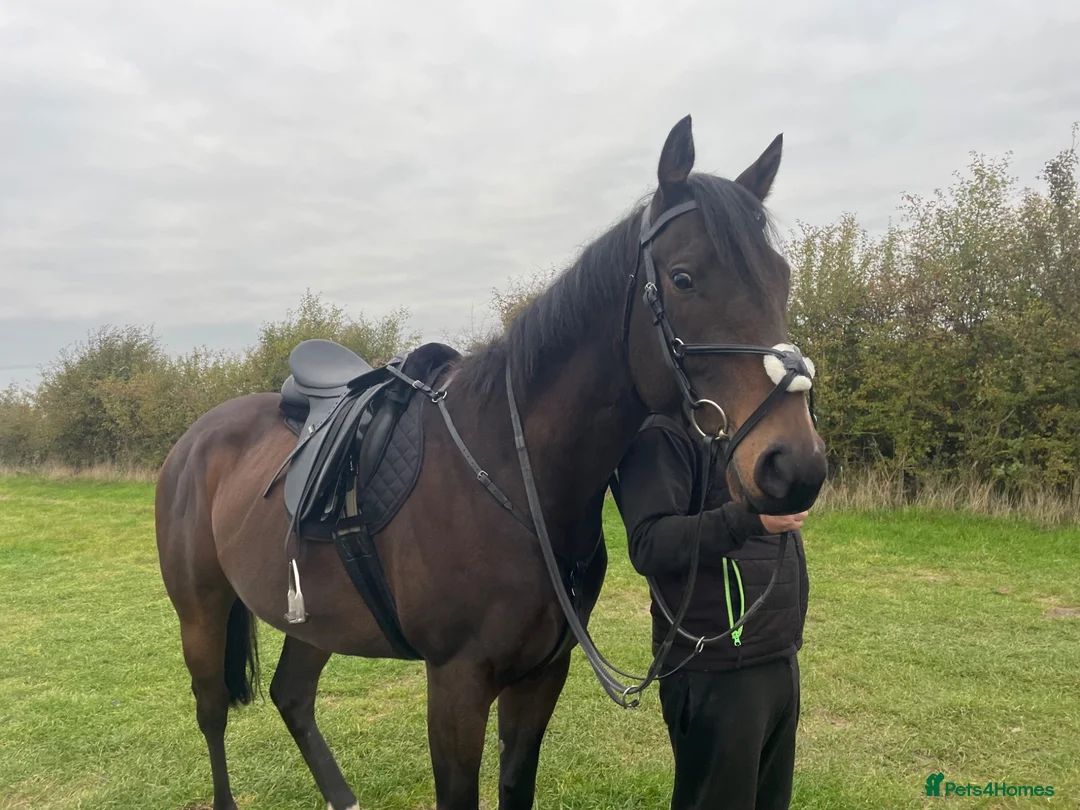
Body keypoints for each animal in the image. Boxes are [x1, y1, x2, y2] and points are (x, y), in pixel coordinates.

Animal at [154, 114, 827, 810]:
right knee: (211, 711)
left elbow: (515, 784)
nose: (794, 466)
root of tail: (194, 438)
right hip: (200, 612)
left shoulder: (540, 676)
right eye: (684, 277)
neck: (512, 475)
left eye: (782, 279)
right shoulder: (456, 685)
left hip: (314, 621)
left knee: (292, 697)